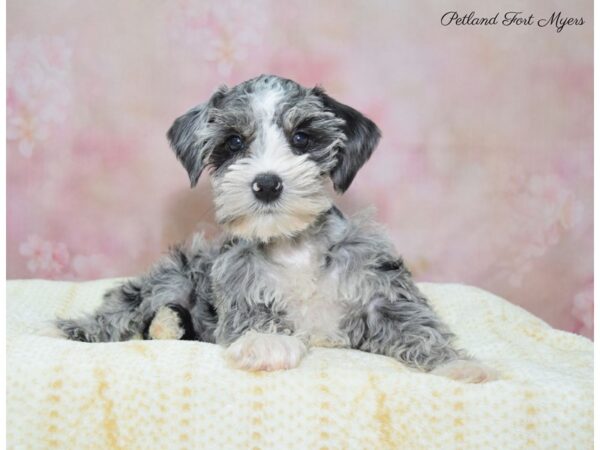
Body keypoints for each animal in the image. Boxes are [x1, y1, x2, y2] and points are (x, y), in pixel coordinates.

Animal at [56, 74, 496, 384]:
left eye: (302, 137)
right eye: (234, 142)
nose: (267, 183)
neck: (293, 245)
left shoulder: (379, 290)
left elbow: (415, 324)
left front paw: (458, 367)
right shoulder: (236, 276)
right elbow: (252, 309)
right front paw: (266, 342)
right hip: (172, 274)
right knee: (124, 313)